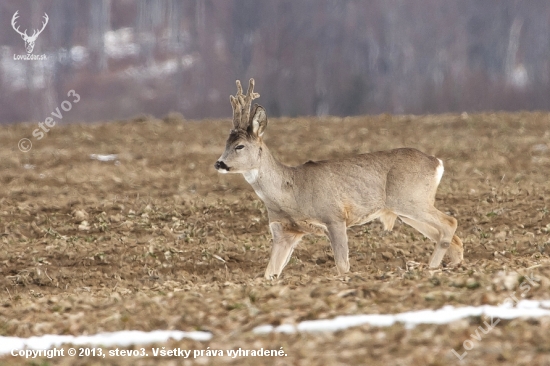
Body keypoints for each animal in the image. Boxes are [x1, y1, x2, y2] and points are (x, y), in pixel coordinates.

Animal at [213, 78, 464, 278]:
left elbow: (343, 266)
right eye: (225, 143)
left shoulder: (334, 217)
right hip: (405, 210)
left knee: (450, 223)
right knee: (452, 238)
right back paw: (450, 268)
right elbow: (269, 272)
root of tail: (436, 162)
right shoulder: (284, 231)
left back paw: (431, 268)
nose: (219, 163)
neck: (290, 193)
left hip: (411, 199)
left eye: (239, 146)